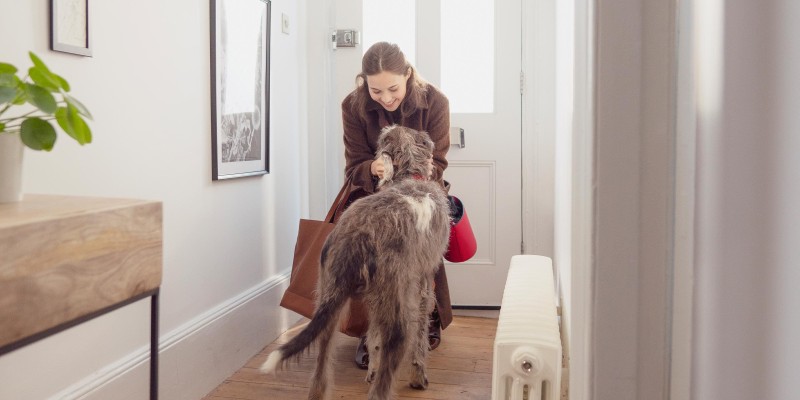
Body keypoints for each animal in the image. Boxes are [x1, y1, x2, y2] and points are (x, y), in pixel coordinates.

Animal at [260, 124, 450, 396]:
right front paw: (418, 375)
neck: (410, 178)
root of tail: (358, 234)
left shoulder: (376, 301)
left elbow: (373, 336)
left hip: (329, 307)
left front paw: (371, 367)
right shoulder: (423, 284)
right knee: (383, 383)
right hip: (398, 316)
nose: (389, 126)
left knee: (319, 378)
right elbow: (420, 336)